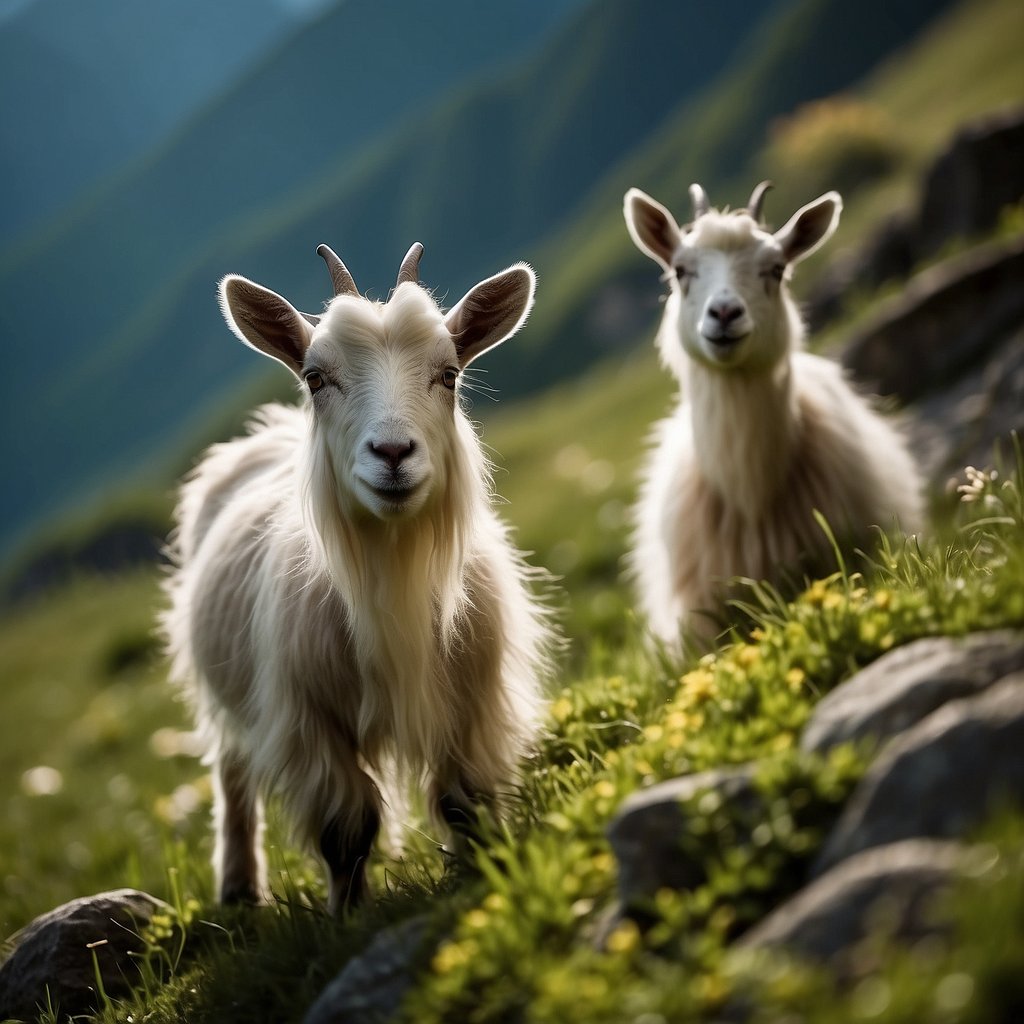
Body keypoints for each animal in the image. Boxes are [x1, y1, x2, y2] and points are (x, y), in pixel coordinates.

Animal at [161, 243, 553, 913]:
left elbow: (465, 800)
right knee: (233, 774)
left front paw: (484, 870)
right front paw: (346, 915)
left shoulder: (471, 703)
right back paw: (238, 890)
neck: (391, 571)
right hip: (226, 696)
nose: (392, 453)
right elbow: (346, 830)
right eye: (316, 378)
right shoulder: (308, 721)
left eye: (450, 374)